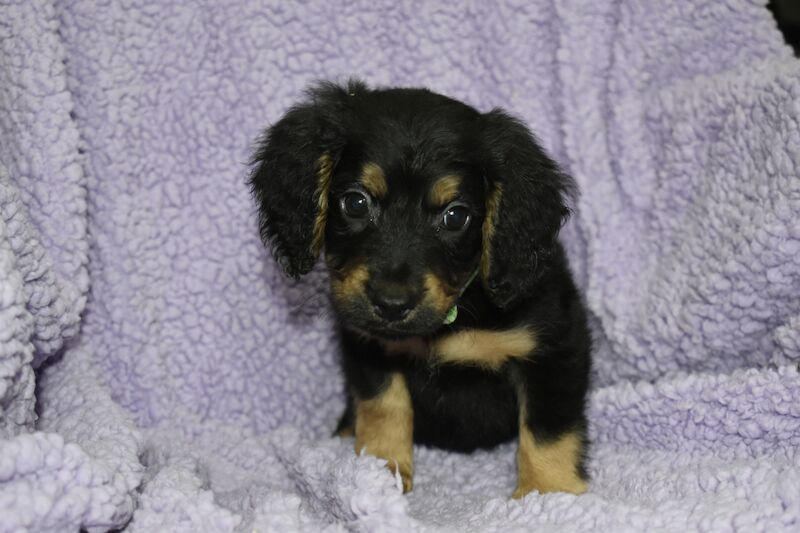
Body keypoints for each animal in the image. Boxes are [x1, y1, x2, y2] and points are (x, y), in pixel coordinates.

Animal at [253, 80, 592, 498]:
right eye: (355, 202)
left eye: (456, 216)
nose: (391, 304)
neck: (455, 317)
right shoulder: (370, 344)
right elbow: (384, 404)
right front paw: (379, 471)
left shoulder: (554, 349)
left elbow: (547, 431)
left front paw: (549, 493)